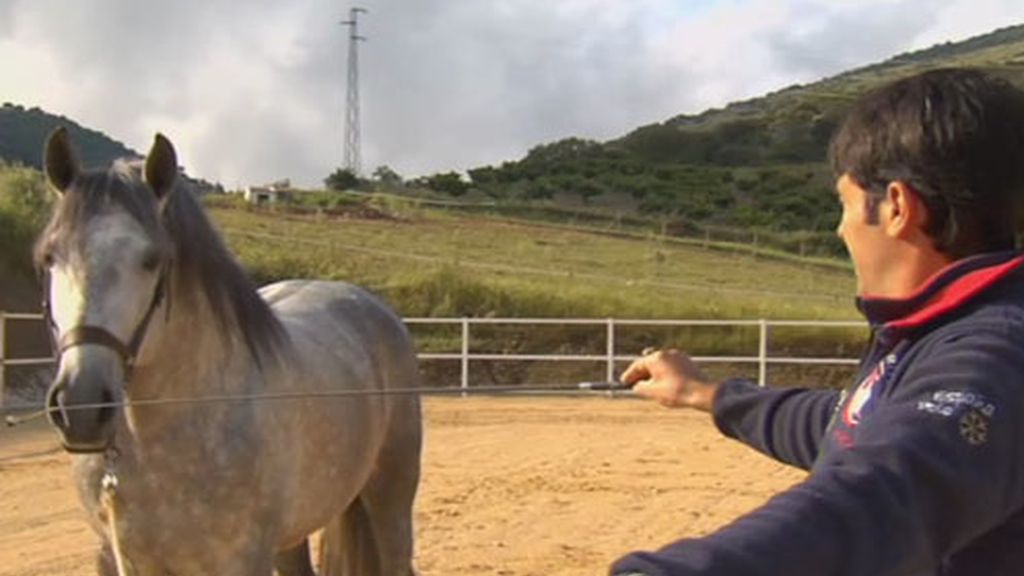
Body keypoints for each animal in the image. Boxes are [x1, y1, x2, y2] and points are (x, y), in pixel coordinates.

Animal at [36, 127, 422, 576]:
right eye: (50, 256)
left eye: (152, 259)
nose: (80, 405)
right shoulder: (113, 555)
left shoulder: (243, 557)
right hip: (293, 535)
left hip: (391, 499)